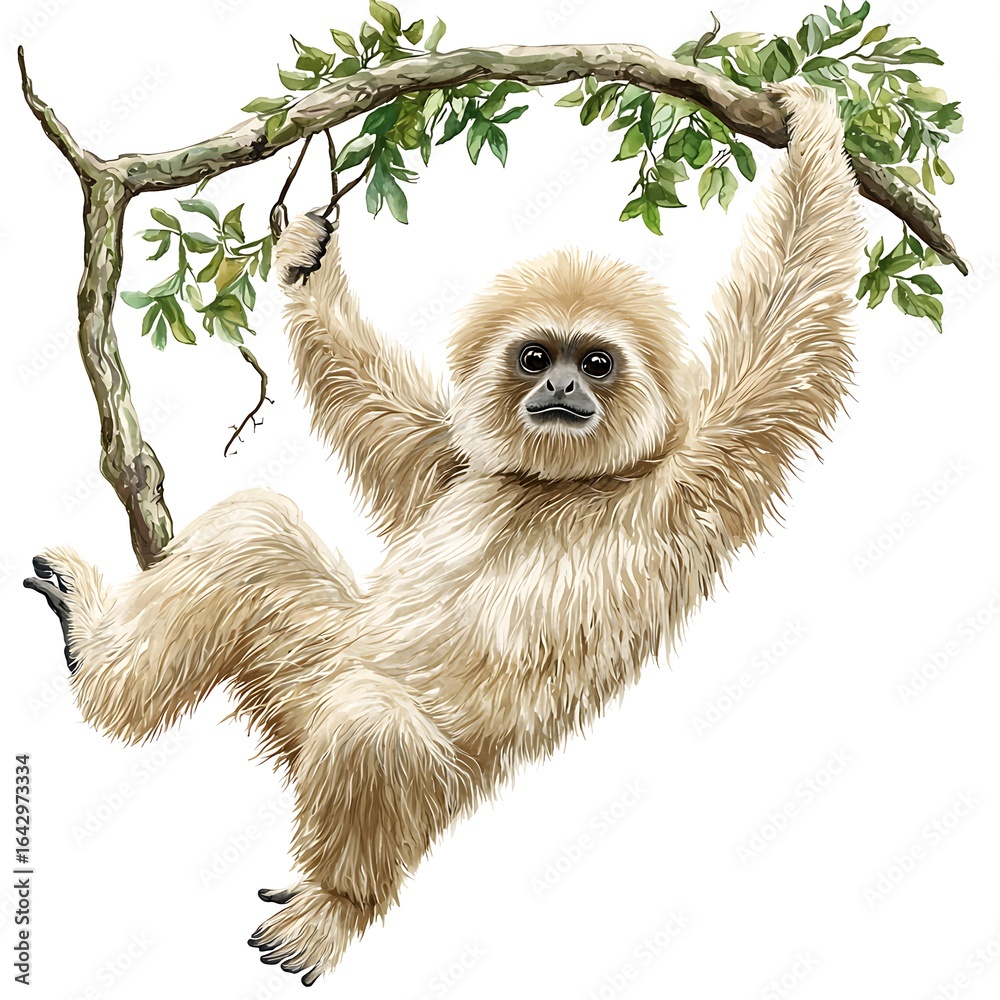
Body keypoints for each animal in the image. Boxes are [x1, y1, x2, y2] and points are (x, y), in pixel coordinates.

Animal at [24, 83, 864, 986]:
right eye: (535, 357)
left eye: (595, 363)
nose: (561, 387)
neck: (555, 486)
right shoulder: (455, 465)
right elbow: (378, 412)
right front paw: (305, 260)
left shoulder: (695, 473)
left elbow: (789, 324)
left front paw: (815, 122)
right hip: (304, 674)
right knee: (259, 535)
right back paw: (95, 650)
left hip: (428, 771)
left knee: (374, 726)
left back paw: (337, 900)